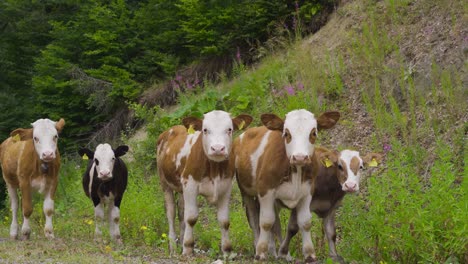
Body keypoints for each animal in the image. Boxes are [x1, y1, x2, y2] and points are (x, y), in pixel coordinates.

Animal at [156, 110, 252, 255]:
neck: (214, 169)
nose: (217, 148)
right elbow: (191, 218)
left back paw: (181, 240)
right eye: (205, 130)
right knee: (171, 212)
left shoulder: (226, 187)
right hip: (165, 183)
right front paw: (188, 248)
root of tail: (172, 129)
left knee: (181, 211)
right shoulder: (190, 185)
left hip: (181, 188)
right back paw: (173, 246)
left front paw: (227, 250)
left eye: (229, 129)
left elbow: (224, 221)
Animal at [236, 109, 338, 262]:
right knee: (254, 219)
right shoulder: (266, 191)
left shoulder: (307, 193)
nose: (300, 157)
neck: (295, 170)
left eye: (313, 133)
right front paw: (260, 253)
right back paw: (258, 246)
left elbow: (305, 222)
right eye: (287, 133)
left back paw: (276, 252)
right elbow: (266, 222)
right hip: (246, 191)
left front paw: (309, 254)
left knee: (276, 224)